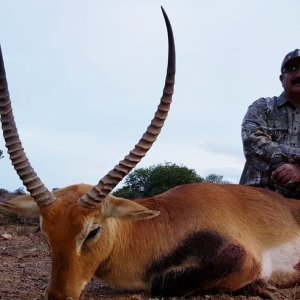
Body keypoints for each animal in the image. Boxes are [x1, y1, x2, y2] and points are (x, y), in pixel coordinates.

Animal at [1, 6, 300, 300]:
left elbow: (161, 284)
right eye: (44, 230)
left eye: (93, 231)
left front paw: (263, 287)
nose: (59, 294)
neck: (159, 222)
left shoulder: (244, 261)